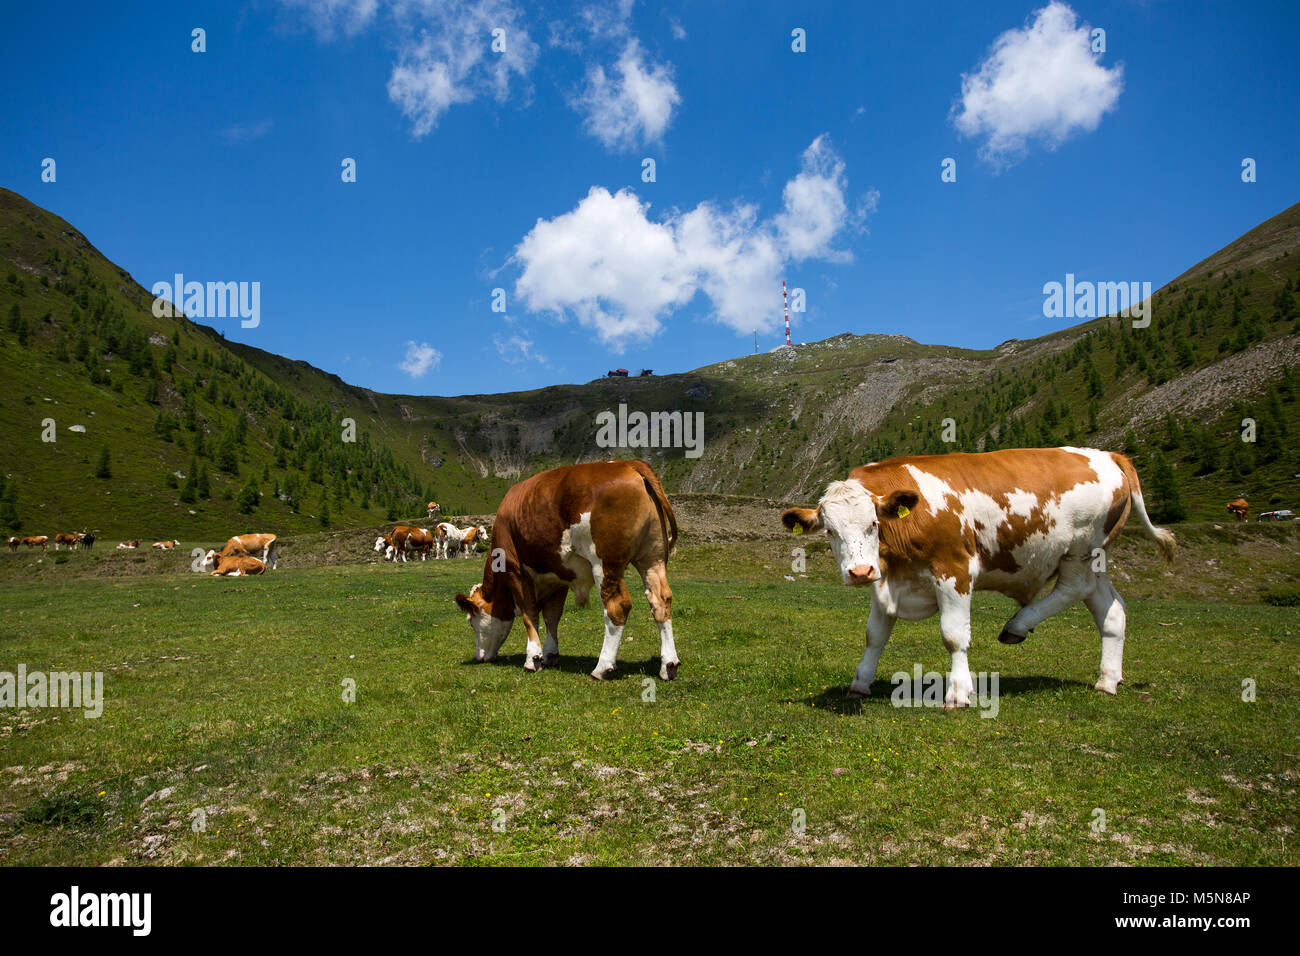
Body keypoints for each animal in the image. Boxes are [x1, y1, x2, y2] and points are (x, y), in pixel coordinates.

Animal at [454, 463, 681, 681]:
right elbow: (552, 616)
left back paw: (602, 667)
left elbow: (529, 614)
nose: (478, 656)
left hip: (605, 564)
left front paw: (532, 659)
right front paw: (549, 654)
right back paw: (668, 665)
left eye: (471, 622)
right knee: (660, 601)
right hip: (652, 559)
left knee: (617, 607)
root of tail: (631, 464)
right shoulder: (559, 576)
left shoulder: (515, 570)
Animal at [780, 447, 1180, 712]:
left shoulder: (954, 569)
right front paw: (860, 682)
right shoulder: (887, 582)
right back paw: (1108, 680)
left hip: (1081, 548)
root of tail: (1110, 455)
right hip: (1097, 560)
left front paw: (959, 693)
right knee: (1111, 613)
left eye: (874, 524)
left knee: (1072, 588)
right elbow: (874, 635)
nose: (860, 572)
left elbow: (953, 635)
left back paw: (1017, 625)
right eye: (830, 531)